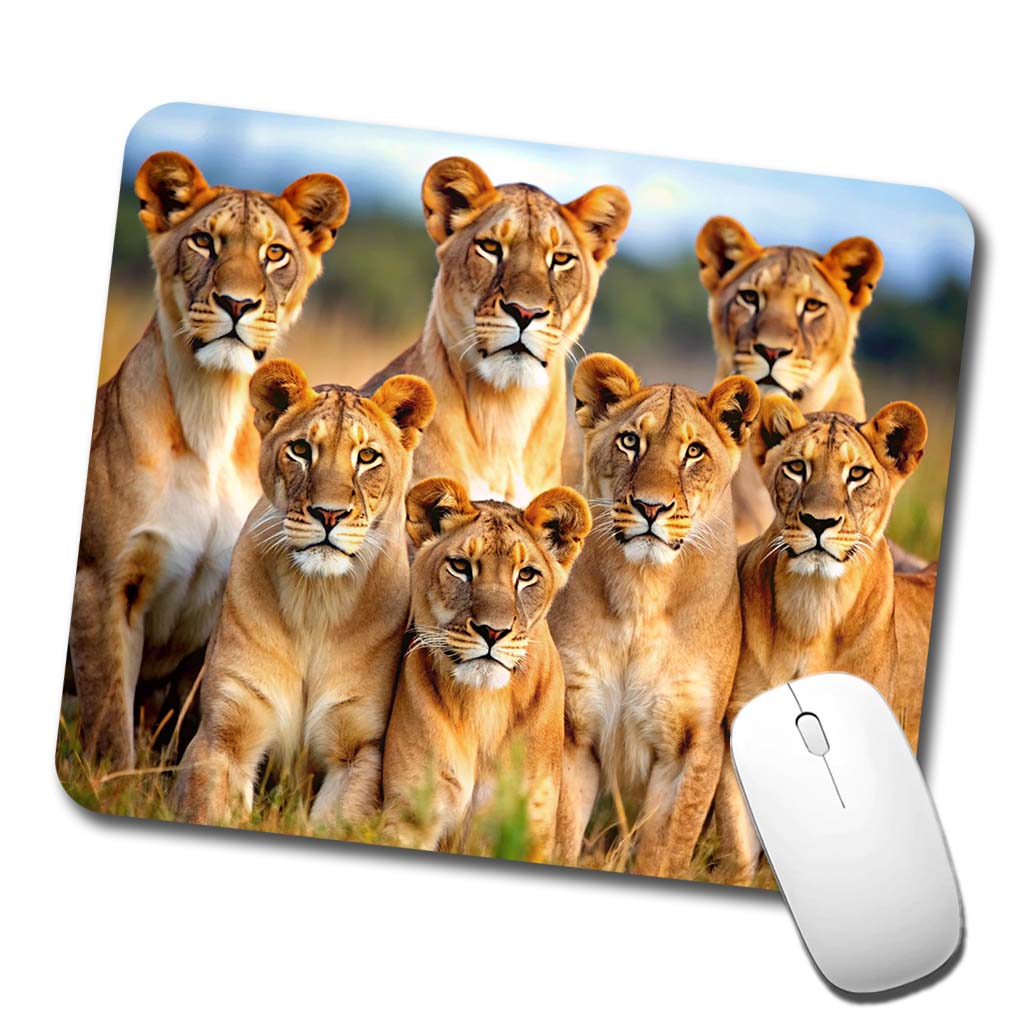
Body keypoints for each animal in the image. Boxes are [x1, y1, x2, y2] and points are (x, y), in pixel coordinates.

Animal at [70, 152, 349, 768]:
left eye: (276, 253)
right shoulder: (102, 582)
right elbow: (109, 721)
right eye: (203, 241)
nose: (237, 304)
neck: (212, 416)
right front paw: (110, 780)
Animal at [172, 359, 435, 825]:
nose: (328, 514)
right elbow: (207, 807)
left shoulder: (360, 750)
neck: (316, 601)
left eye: (367, 457)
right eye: (300, 450)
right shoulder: (223, 734)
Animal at [381, 477, 591, 861]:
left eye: (526, 575)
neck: (484, 709)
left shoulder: (532, 830)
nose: (492, 632)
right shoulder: (409, 817)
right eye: (460, 566)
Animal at [548, 354, 760, 879]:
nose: (650, 507)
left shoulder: (693, 744)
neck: (641, 593)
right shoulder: (574, 730)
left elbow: (664, 849)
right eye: (630, 442)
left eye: (694, 452)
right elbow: (559, 831)